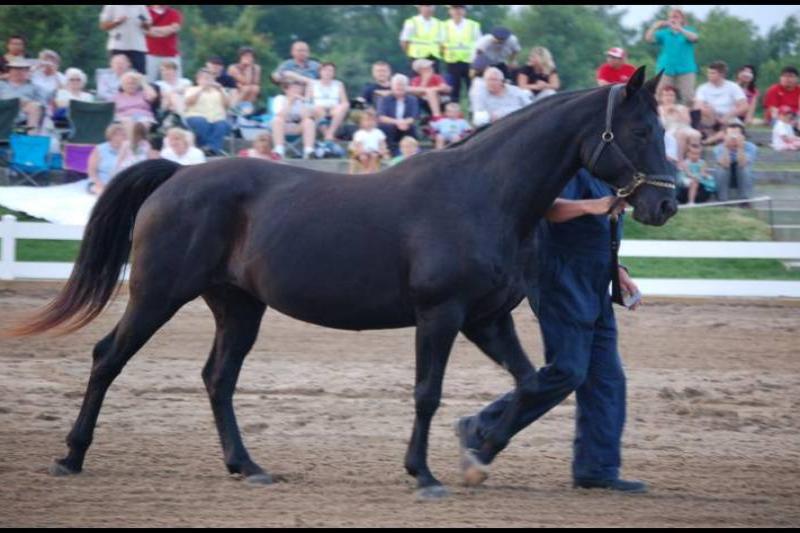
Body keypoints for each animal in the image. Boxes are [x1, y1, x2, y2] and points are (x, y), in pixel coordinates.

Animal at [6, 67, 676, 500]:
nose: (666, 204)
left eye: (665, 129)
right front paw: (425, 475)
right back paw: (70, 457)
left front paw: (479, 448)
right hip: (158, 294)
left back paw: (248, 466)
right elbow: (427, 393)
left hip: (238, 307)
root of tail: (176, 174)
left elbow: (533, 381)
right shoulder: (441, 315)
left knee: (218, 379)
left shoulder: (488, 318)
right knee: (108, 358)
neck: (483, 194)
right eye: (642, 131)